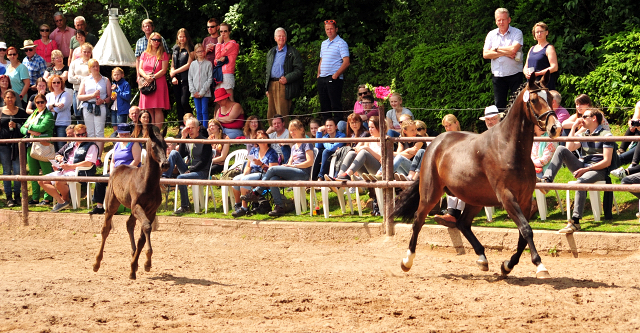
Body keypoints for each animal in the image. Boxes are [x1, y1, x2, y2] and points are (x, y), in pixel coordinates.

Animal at [92, 124, 169, 278]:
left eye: (166, 145)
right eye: (154, 147)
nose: (165, 164)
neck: (147, 182)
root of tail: (118, 167)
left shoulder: (151, 211)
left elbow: (142, 237)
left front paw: (137, 266)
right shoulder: (137, 206)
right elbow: (146, 227)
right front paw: (145, 263)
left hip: (132, 210)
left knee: (129, 224)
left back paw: (134, 257)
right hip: (112, 204)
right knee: (105, 229)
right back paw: (96, 264)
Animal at [392, 72, 564, 278]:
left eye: (551, 98)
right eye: (534, 100)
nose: (556, 128)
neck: (509, 148)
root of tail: (434, 144)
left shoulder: (524, 199)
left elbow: (523, 235)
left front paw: (507, 265)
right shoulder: (507, 197)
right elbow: (526, 229)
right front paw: (540, 266)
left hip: (474, 198)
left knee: (463, 223)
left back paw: (482, 258)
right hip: (431, 193)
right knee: (418, 219)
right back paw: (406, 261)